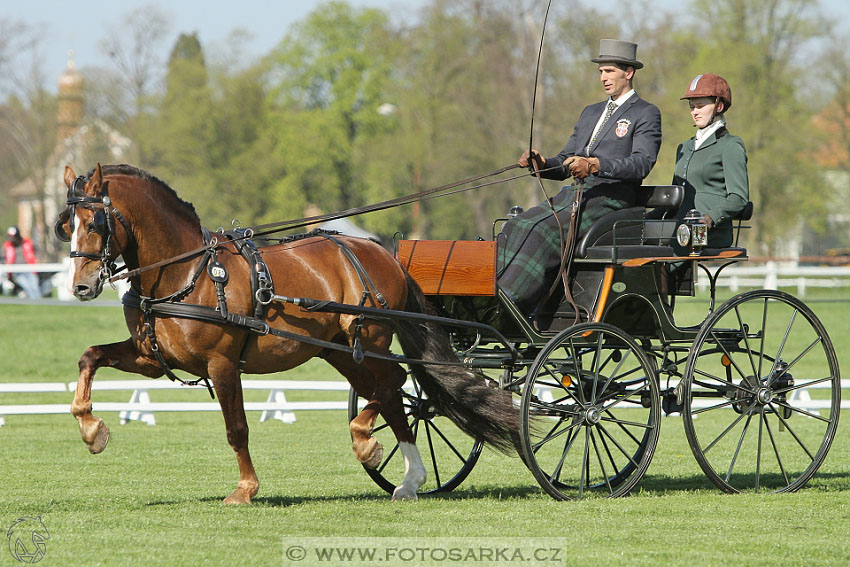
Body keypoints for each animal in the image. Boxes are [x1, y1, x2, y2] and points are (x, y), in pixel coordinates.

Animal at [56, 164, 516, 506]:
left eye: (96, 222)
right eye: (67, 224)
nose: (80, 287)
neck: (187, 272)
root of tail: (381, 252)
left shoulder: (222, 363)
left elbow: (237, 428)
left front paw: (245, 489)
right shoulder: (152, 358)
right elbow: (89, 357)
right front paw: (91, 429)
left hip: (370, 339)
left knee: (393, 386)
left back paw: (372, 448)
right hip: (341, 351)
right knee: (392, 396)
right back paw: (408, 478)